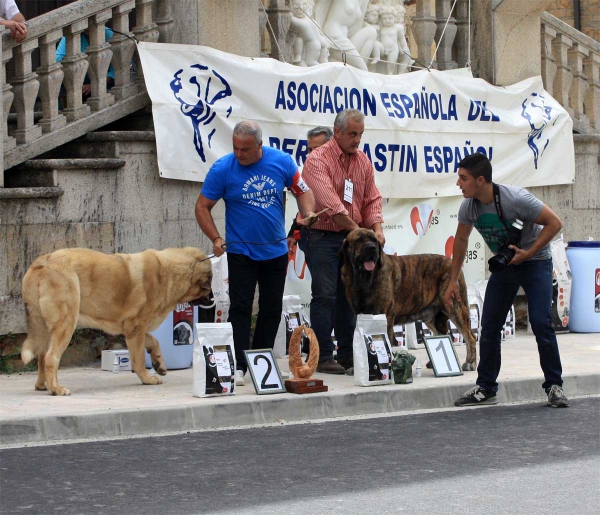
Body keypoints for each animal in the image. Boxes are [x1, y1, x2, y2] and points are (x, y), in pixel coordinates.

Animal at [340, 230, 476, 370]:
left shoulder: (386, 315)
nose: (372, 248)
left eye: (374, 240)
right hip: (432, 317)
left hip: (454, 307)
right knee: (444, 334)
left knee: (470, 336)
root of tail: (453, 263)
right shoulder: (360, 314)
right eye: (359, 240)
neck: (363, 279)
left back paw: (469, 363)